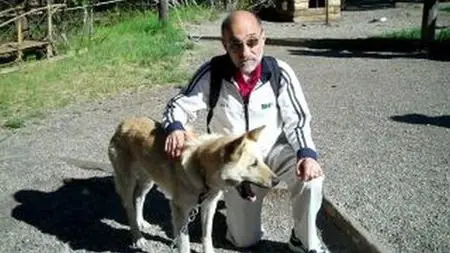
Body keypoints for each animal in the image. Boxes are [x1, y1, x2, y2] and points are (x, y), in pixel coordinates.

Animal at [108, 116, 278, 253]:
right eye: (254, 164)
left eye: (262, 161)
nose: (276, 181)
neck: (202, 168)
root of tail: (124, 123)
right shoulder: (180, 211)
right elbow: (184, 244)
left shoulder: (209, 206)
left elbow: (207, 236)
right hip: (127, 182)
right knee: (129, 207)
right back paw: (137, 237)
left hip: (148, 179)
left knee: (138, 198)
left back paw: (141, 222)